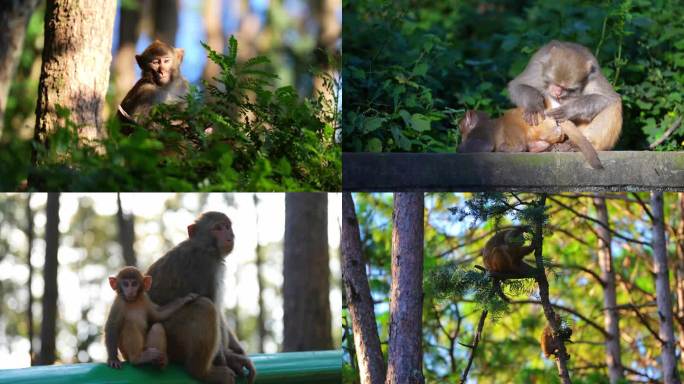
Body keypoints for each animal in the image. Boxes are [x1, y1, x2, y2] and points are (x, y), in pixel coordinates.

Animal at [147, 212, 256, 384]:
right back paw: (202, 372)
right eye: (217, 228)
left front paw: (237, 352)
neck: (206, 247)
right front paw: (230, 358)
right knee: (204, 306)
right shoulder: (206, 265)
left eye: (227, 226)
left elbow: (220, 314)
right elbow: (211, 302)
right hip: (170, 338)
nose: (229, 236)